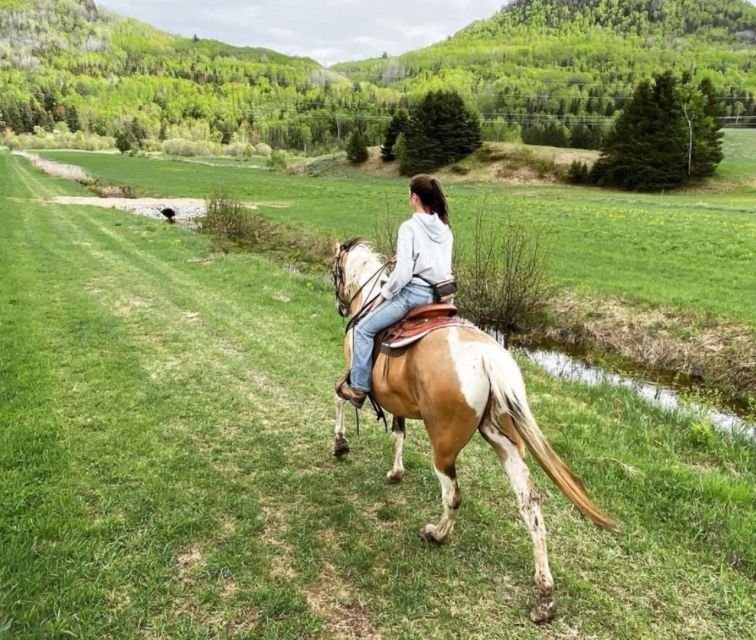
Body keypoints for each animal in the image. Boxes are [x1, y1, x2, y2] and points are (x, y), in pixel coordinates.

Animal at [330, 238, 616, 624]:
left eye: (335, 271)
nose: (341, 305)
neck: (370, 299)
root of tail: (488, 358)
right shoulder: (398, 402)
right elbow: (399, 433)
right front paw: (395, 472)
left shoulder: (353, 375)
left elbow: (342, 399)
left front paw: (340, 445)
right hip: (504, 440)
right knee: (530, 505)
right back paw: (544, 595)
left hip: (445, 446)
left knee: (453, 495)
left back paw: (436, 534)